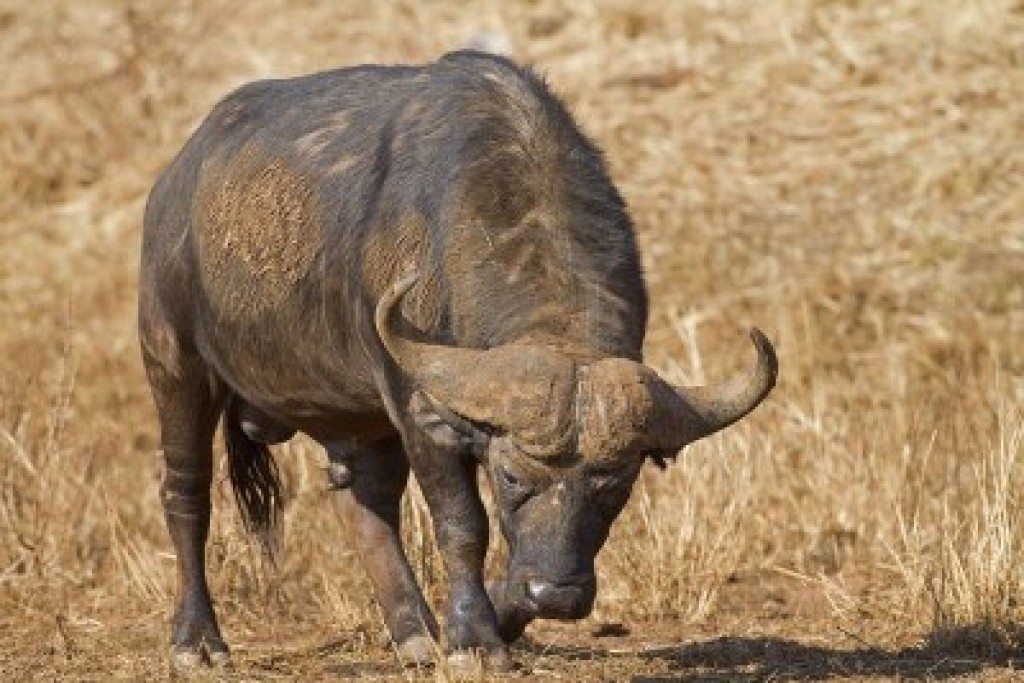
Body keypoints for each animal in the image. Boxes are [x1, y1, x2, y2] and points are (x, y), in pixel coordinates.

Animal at [138, 50, 774, 671]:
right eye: (512, 475)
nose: (558, 595)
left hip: (361, 418)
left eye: (615, 483)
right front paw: (473, 639)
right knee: (186, 494)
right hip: (176, 364)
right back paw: (197, 643)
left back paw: (416, 634)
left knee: (366, 504)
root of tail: (174, 182)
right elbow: (464, 525)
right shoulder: (422, 413)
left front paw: (493, 617)